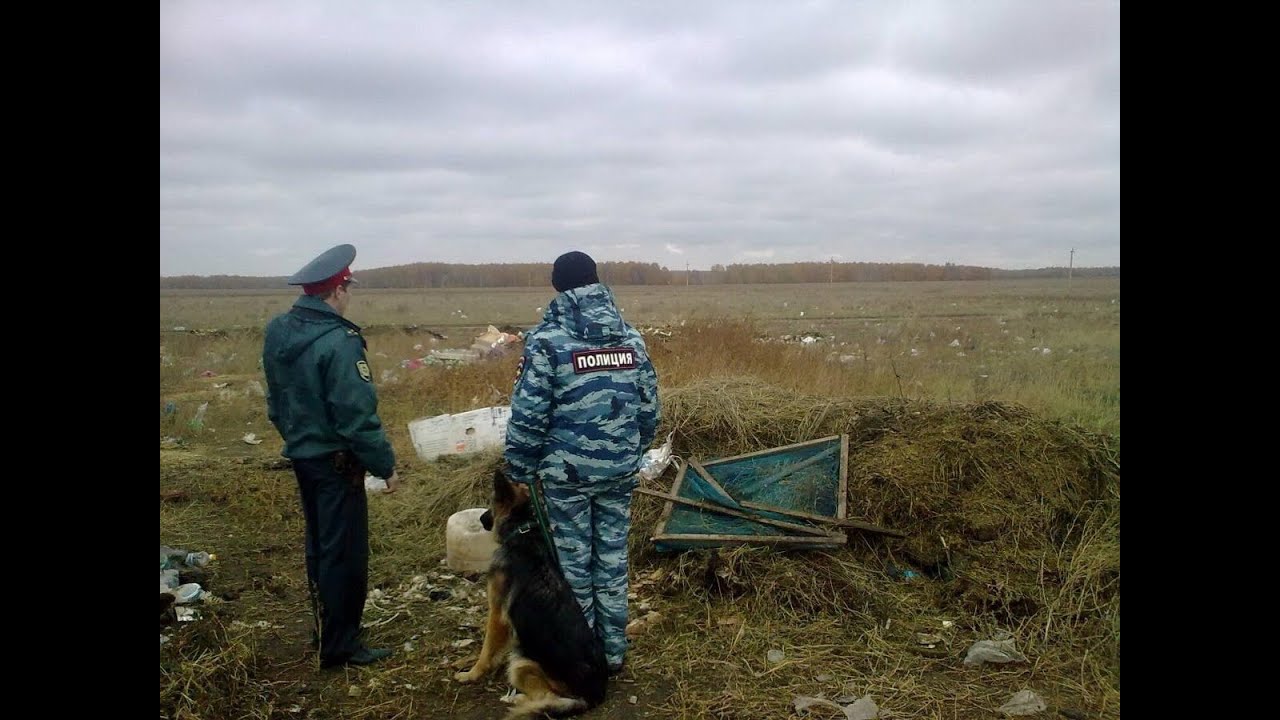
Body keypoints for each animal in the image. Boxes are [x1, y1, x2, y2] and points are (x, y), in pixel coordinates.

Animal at [453, 468, 606, 712]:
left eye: (491, 502)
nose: (481, 518)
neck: (521, 530)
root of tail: (595, 694)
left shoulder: (497, 613)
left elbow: (487, 647)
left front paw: (472, 674)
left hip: (522, 661)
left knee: (545, 697)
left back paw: (515, 699)